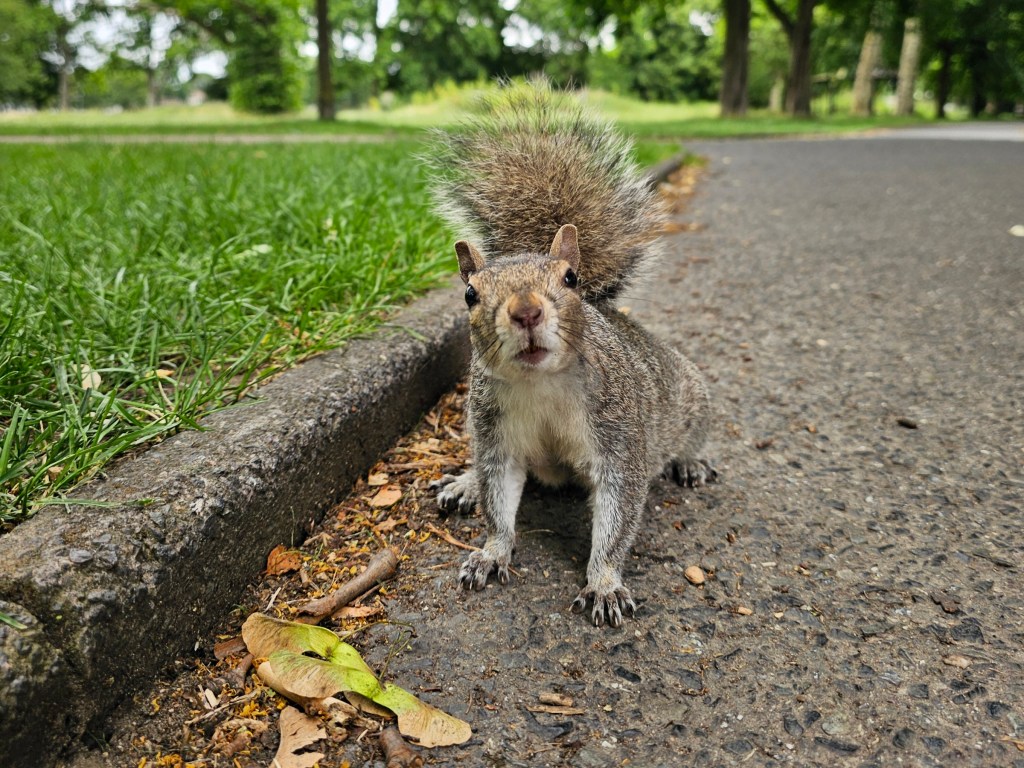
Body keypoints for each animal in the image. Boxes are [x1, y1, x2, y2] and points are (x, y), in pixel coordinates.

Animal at [427, 79, 715, 628]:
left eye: (569, 279)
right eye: (470, 294)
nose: (526, 311)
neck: (542, 384)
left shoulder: (620, 438)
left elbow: (618, 515)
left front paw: (603, 583)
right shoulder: (496, 432)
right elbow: (498, 497)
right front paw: (491, 552)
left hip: (692, 394)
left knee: (689, 436)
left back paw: (689, 463)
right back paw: (466, 483)